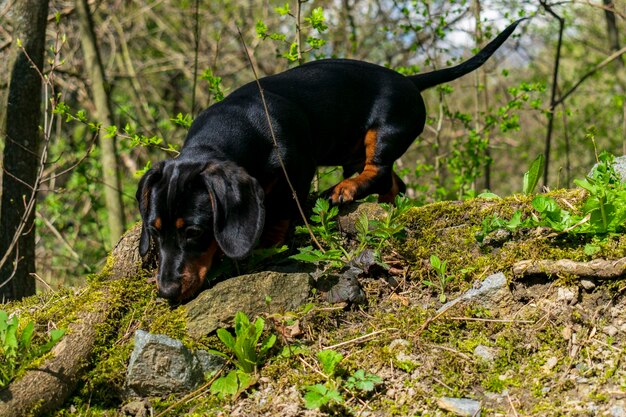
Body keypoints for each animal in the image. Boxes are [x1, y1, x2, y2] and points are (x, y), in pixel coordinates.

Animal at [135, 19, 520, 300]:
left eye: (194, 232)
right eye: (154, 231)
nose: (166, 292)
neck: (235, 125)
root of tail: (409, 80)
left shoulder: (297, 168)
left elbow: (284, 207)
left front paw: (268, 242)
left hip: (382, 134)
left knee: (378, 170)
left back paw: (343, 190)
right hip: (354, 151)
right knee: (391, 182)